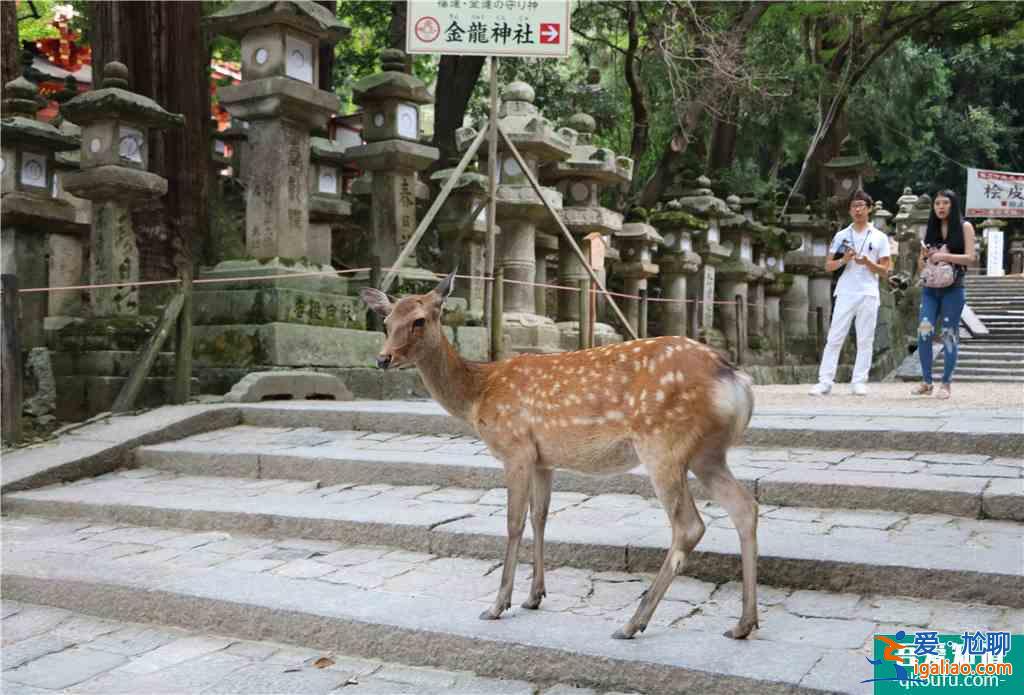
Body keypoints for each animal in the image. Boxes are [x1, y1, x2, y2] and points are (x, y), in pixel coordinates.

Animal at [362, 272, 761, 642]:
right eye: (386, 321)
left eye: (420, 320)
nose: (383, 358)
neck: (478, 395)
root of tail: (736, 380)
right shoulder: (543, 459)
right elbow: (540, 517)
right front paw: (534, 596)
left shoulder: (516, 448)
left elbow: (513, 523)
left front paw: (498, 605)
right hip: (706, 453)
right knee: (745, 507)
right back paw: (743, 624)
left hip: (663, 444)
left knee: (689, 525)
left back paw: (633, 622)